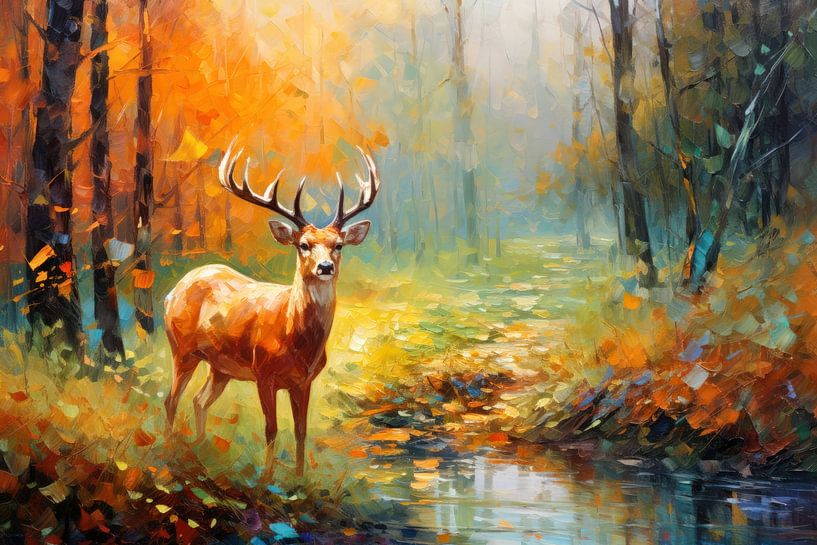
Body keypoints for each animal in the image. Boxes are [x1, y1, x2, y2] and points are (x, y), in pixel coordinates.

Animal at [163, 140, 381, 475]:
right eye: (303, 245)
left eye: (338, 245)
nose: (325, 267)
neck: (295, 338)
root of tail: (172, 291)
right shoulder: (263, 373)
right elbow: (271, 429)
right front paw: (266, 478)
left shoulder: (303, 382)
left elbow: (301, 430)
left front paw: (300, 477)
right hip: (182, 349)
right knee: (171, 400)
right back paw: (169, 449)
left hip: (219, 366)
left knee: (199, 400)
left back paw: (199, 447)